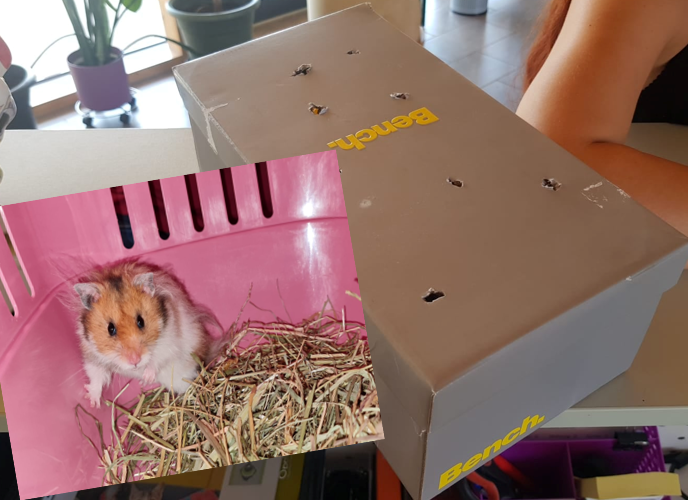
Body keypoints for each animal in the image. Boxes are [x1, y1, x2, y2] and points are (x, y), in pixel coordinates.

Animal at [72, 259, 222, 408]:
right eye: (110, 328)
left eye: (141, 321)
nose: (135, 362)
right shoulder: (92, 356)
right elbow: (96, 377)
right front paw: (92, 402)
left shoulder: (169, 342)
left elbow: (157, 358)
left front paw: (147, 376)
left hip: (184, 374)